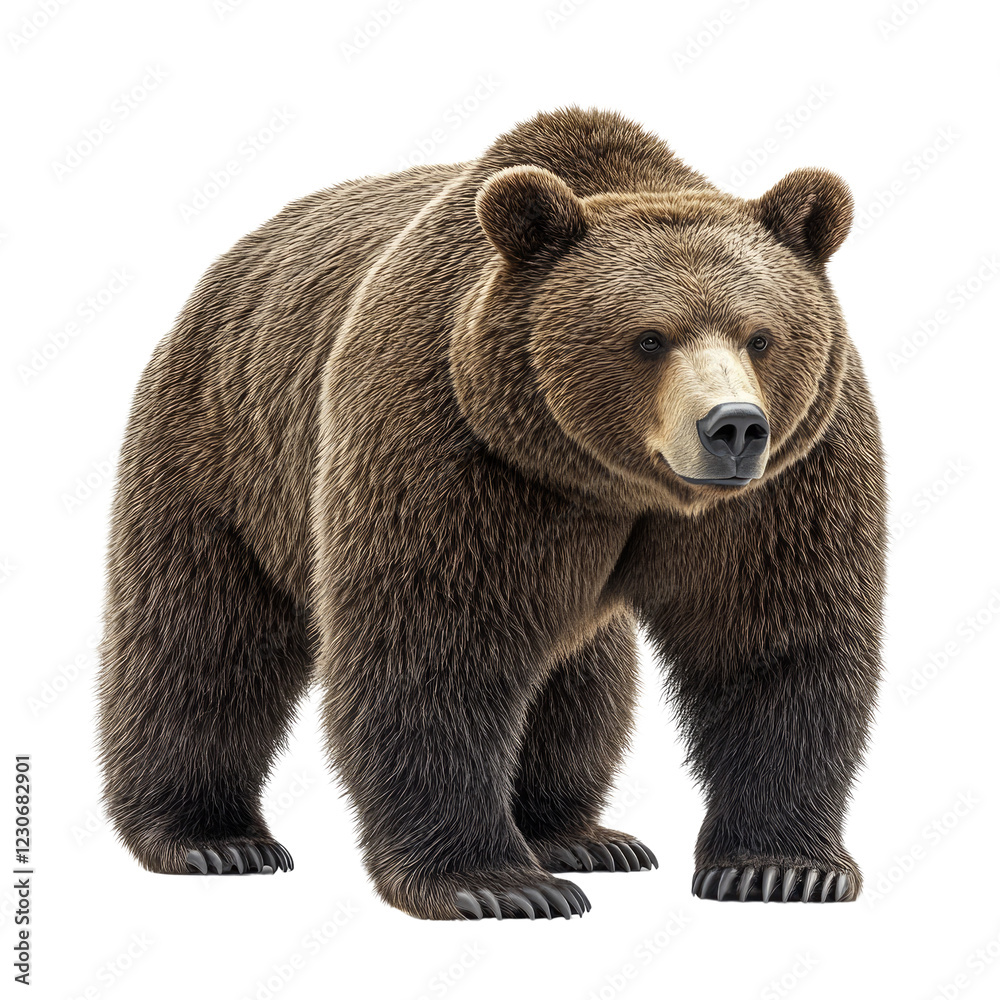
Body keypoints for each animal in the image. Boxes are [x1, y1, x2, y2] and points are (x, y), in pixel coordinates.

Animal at [97, 106, 885, 920]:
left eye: (761, 336)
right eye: (648, 337)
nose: (733, 427)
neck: (607, 480)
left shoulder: (787, 477)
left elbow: (772, 641)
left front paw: (780, 869)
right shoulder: (453, 443)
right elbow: (435, 644)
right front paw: (496, 883)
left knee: (581, 678)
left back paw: (577, 834)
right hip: (223, 456)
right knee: (202, 637)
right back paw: (212, 839)